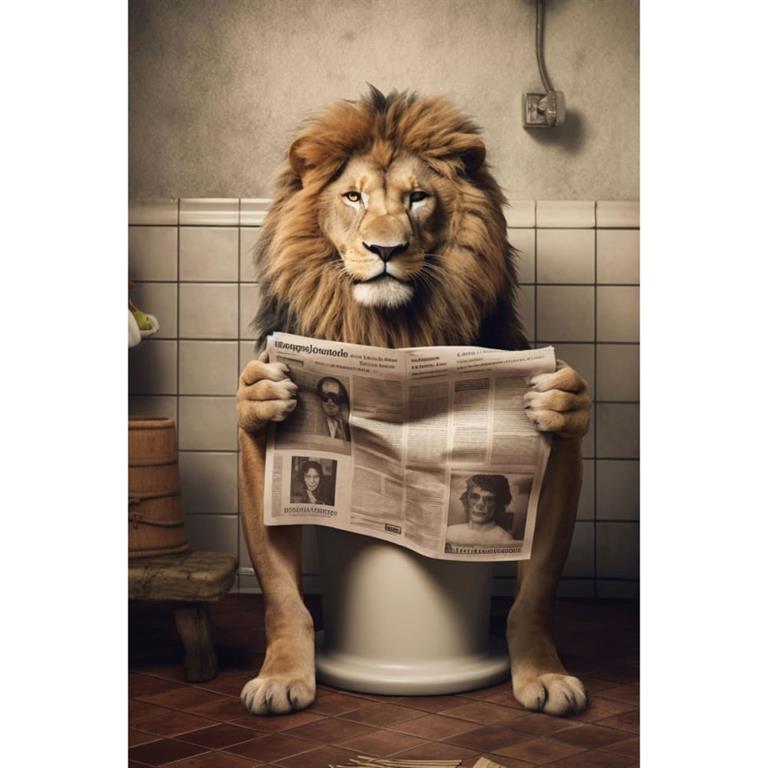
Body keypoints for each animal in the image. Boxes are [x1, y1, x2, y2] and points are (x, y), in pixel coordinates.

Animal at [236, 87, 591, 717]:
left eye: (417, 197)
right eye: (353, 196)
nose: (385, 248)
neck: (391, 331)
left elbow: (533, 598)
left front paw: (543, 673)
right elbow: (282, 597)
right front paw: (281, 676)